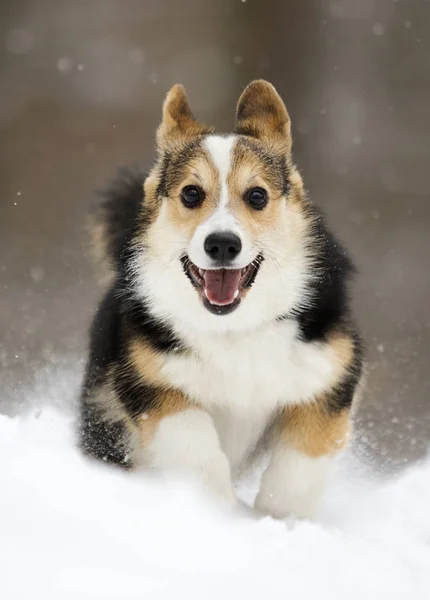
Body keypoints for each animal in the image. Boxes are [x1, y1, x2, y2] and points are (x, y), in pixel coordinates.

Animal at [78, 81, 362, 520]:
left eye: (257, 196)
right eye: (192, 194)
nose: (223, 244)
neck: (234, 327)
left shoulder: (324, 383)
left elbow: (297, 472)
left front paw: (278, 520)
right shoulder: (155, 386)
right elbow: (195, 450)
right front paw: (218, 514)